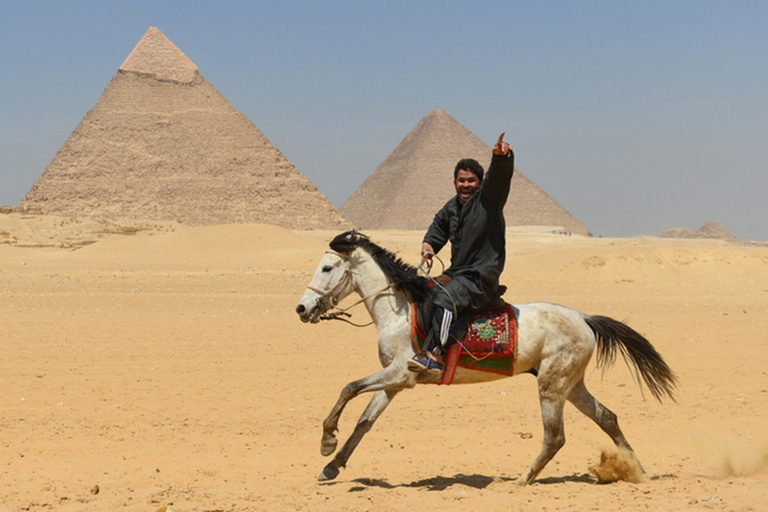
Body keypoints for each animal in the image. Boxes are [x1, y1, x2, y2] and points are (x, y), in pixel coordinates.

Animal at [296, 231, 676, 484]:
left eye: (327, 268)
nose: (302, 308)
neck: (399, 309)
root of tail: (584, 318)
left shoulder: (401, 373)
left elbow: (348, 387)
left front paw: (327, 441)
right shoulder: (395, 381)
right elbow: (364, 420)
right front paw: (333, 465)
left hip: (551, 385)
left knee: (555, 436)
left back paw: (522, 480)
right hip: (571, 384)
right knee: (607, 417)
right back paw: (636, 470)